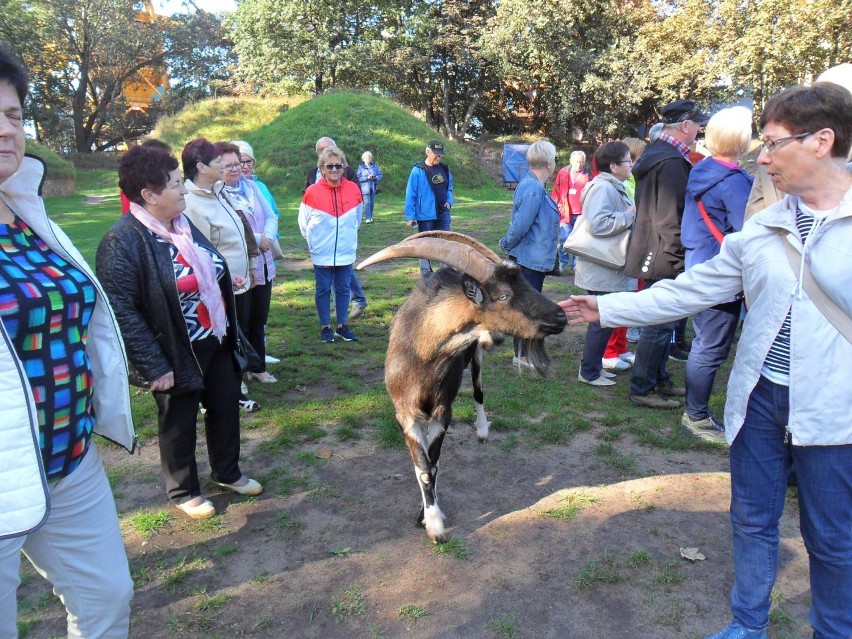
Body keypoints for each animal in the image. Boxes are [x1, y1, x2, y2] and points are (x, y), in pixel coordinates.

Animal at [358, 232, 564, 544]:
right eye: (503, 295)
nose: (561, 316)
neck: (422, 355)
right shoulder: (404, 414)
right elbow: (423, 468)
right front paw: (434, 525)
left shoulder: (444, 411)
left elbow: (434, 463)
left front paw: (428, 517)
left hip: (476, 355)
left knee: (478, 392)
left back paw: (482, 430)